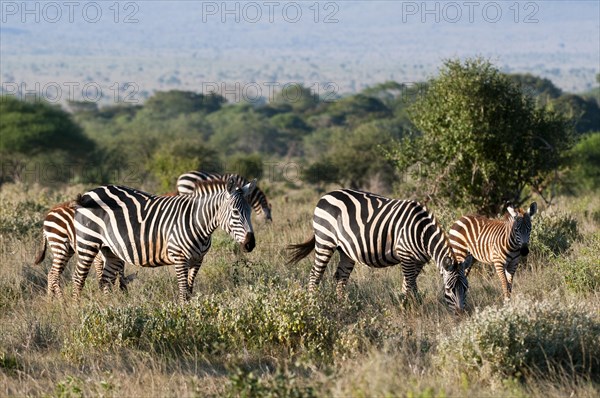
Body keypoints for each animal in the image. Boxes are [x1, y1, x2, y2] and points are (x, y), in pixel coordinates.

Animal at [72, 177, 255, 302]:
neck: (197, 222)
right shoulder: (180, 257)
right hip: (87, 244)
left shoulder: (198, 260)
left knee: (105, 281)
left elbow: (190, 290)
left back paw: (108, 308)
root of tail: (89, 192)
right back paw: (78, 308)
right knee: (78, 278)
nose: (250, 244)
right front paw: (184, 317)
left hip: (110, 250)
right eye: (235, 212)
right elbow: (183, 292)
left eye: (250, 212)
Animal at [286, 188, 474, 312]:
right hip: (325, 240)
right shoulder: (405, 254)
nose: (461, 314)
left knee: (341, 277)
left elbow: (408, 284)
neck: (422, 232)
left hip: (345, 250)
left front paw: (408, 305)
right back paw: (313, 305)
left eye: (466, 288)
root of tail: (326, 195)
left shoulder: (419, 260)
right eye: (449, 289)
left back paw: (342, 305)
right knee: (315, 275)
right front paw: (410, 307)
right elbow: (410, 284)